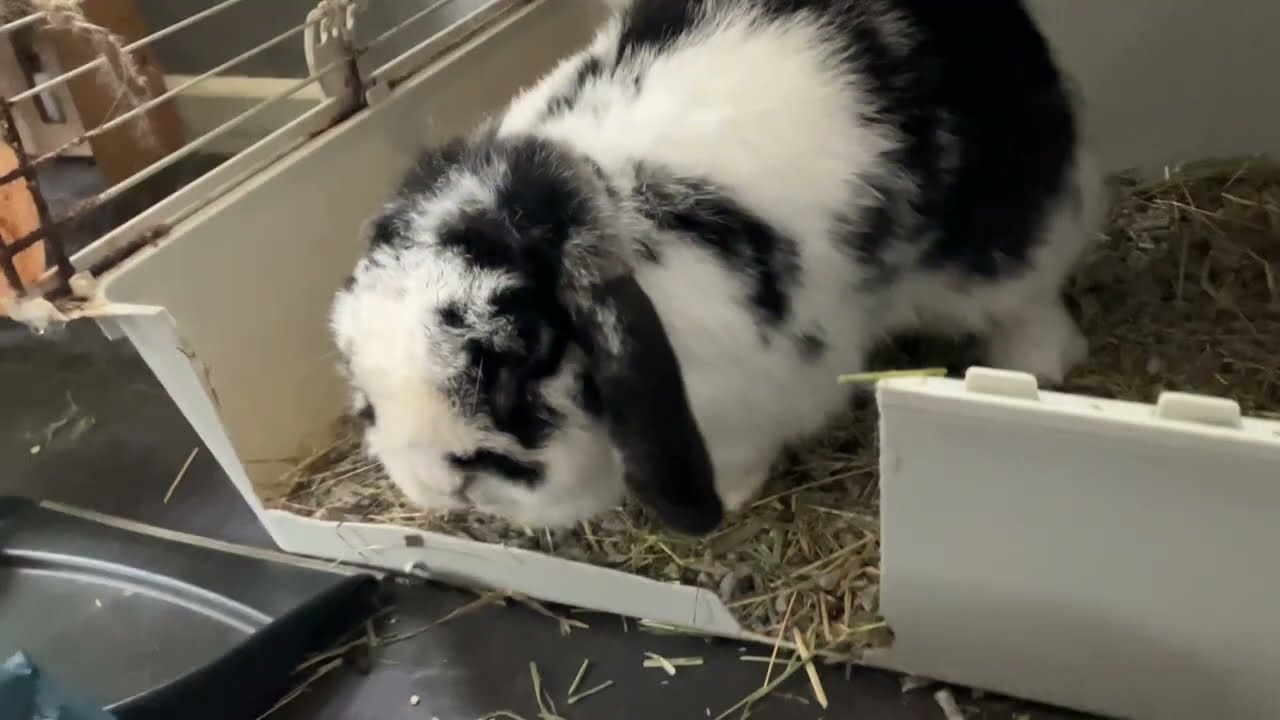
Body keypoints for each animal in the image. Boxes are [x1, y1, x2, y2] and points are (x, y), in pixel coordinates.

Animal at [329, 0, 1105, 536]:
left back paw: (1036, 366)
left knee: (1031, 295)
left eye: (522, 356)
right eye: (363, 385)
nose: (441, 485)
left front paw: (730, 498)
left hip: (1001, 237)